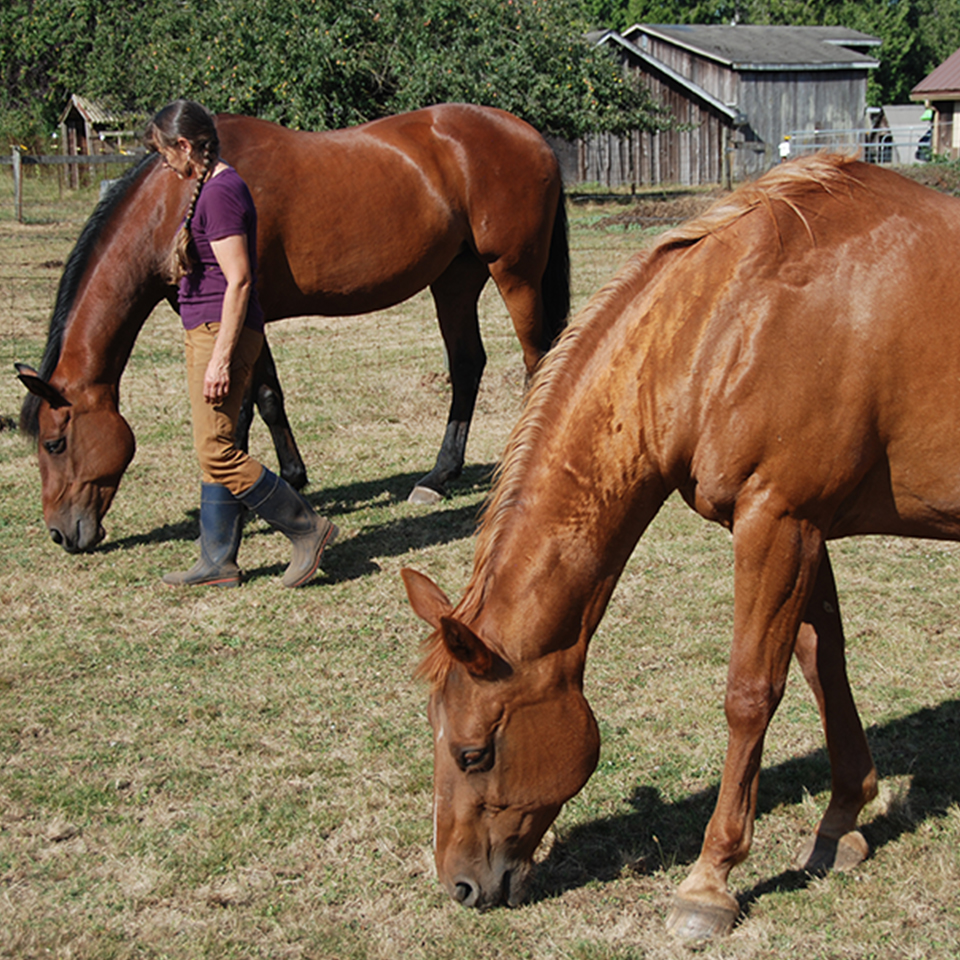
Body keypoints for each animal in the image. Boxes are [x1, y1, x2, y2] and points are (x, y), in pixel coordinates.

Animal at [18, 101, 568, 552]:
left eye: (54, 443)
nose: (61, 534)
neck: (177, 200)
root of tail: (530, 135)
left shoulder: (237, 312)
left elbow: (236, 410)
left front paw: (236, 509)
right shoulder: (244, 316)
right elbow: (267, 398)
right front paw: (291, 477)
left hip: (514, 273)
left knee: (537, 360)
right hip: (454, 280)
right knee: (467, 364)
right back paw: (438, 476)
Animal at [404, 156, 960, 936]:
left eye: (473, 751)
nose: (459, 886)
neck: (734, 318)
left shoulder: (776, 521)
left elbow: (750, 694)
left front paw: (710, 879)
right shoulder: (805, 524)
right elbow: (824, 664)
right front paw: (841, 822)